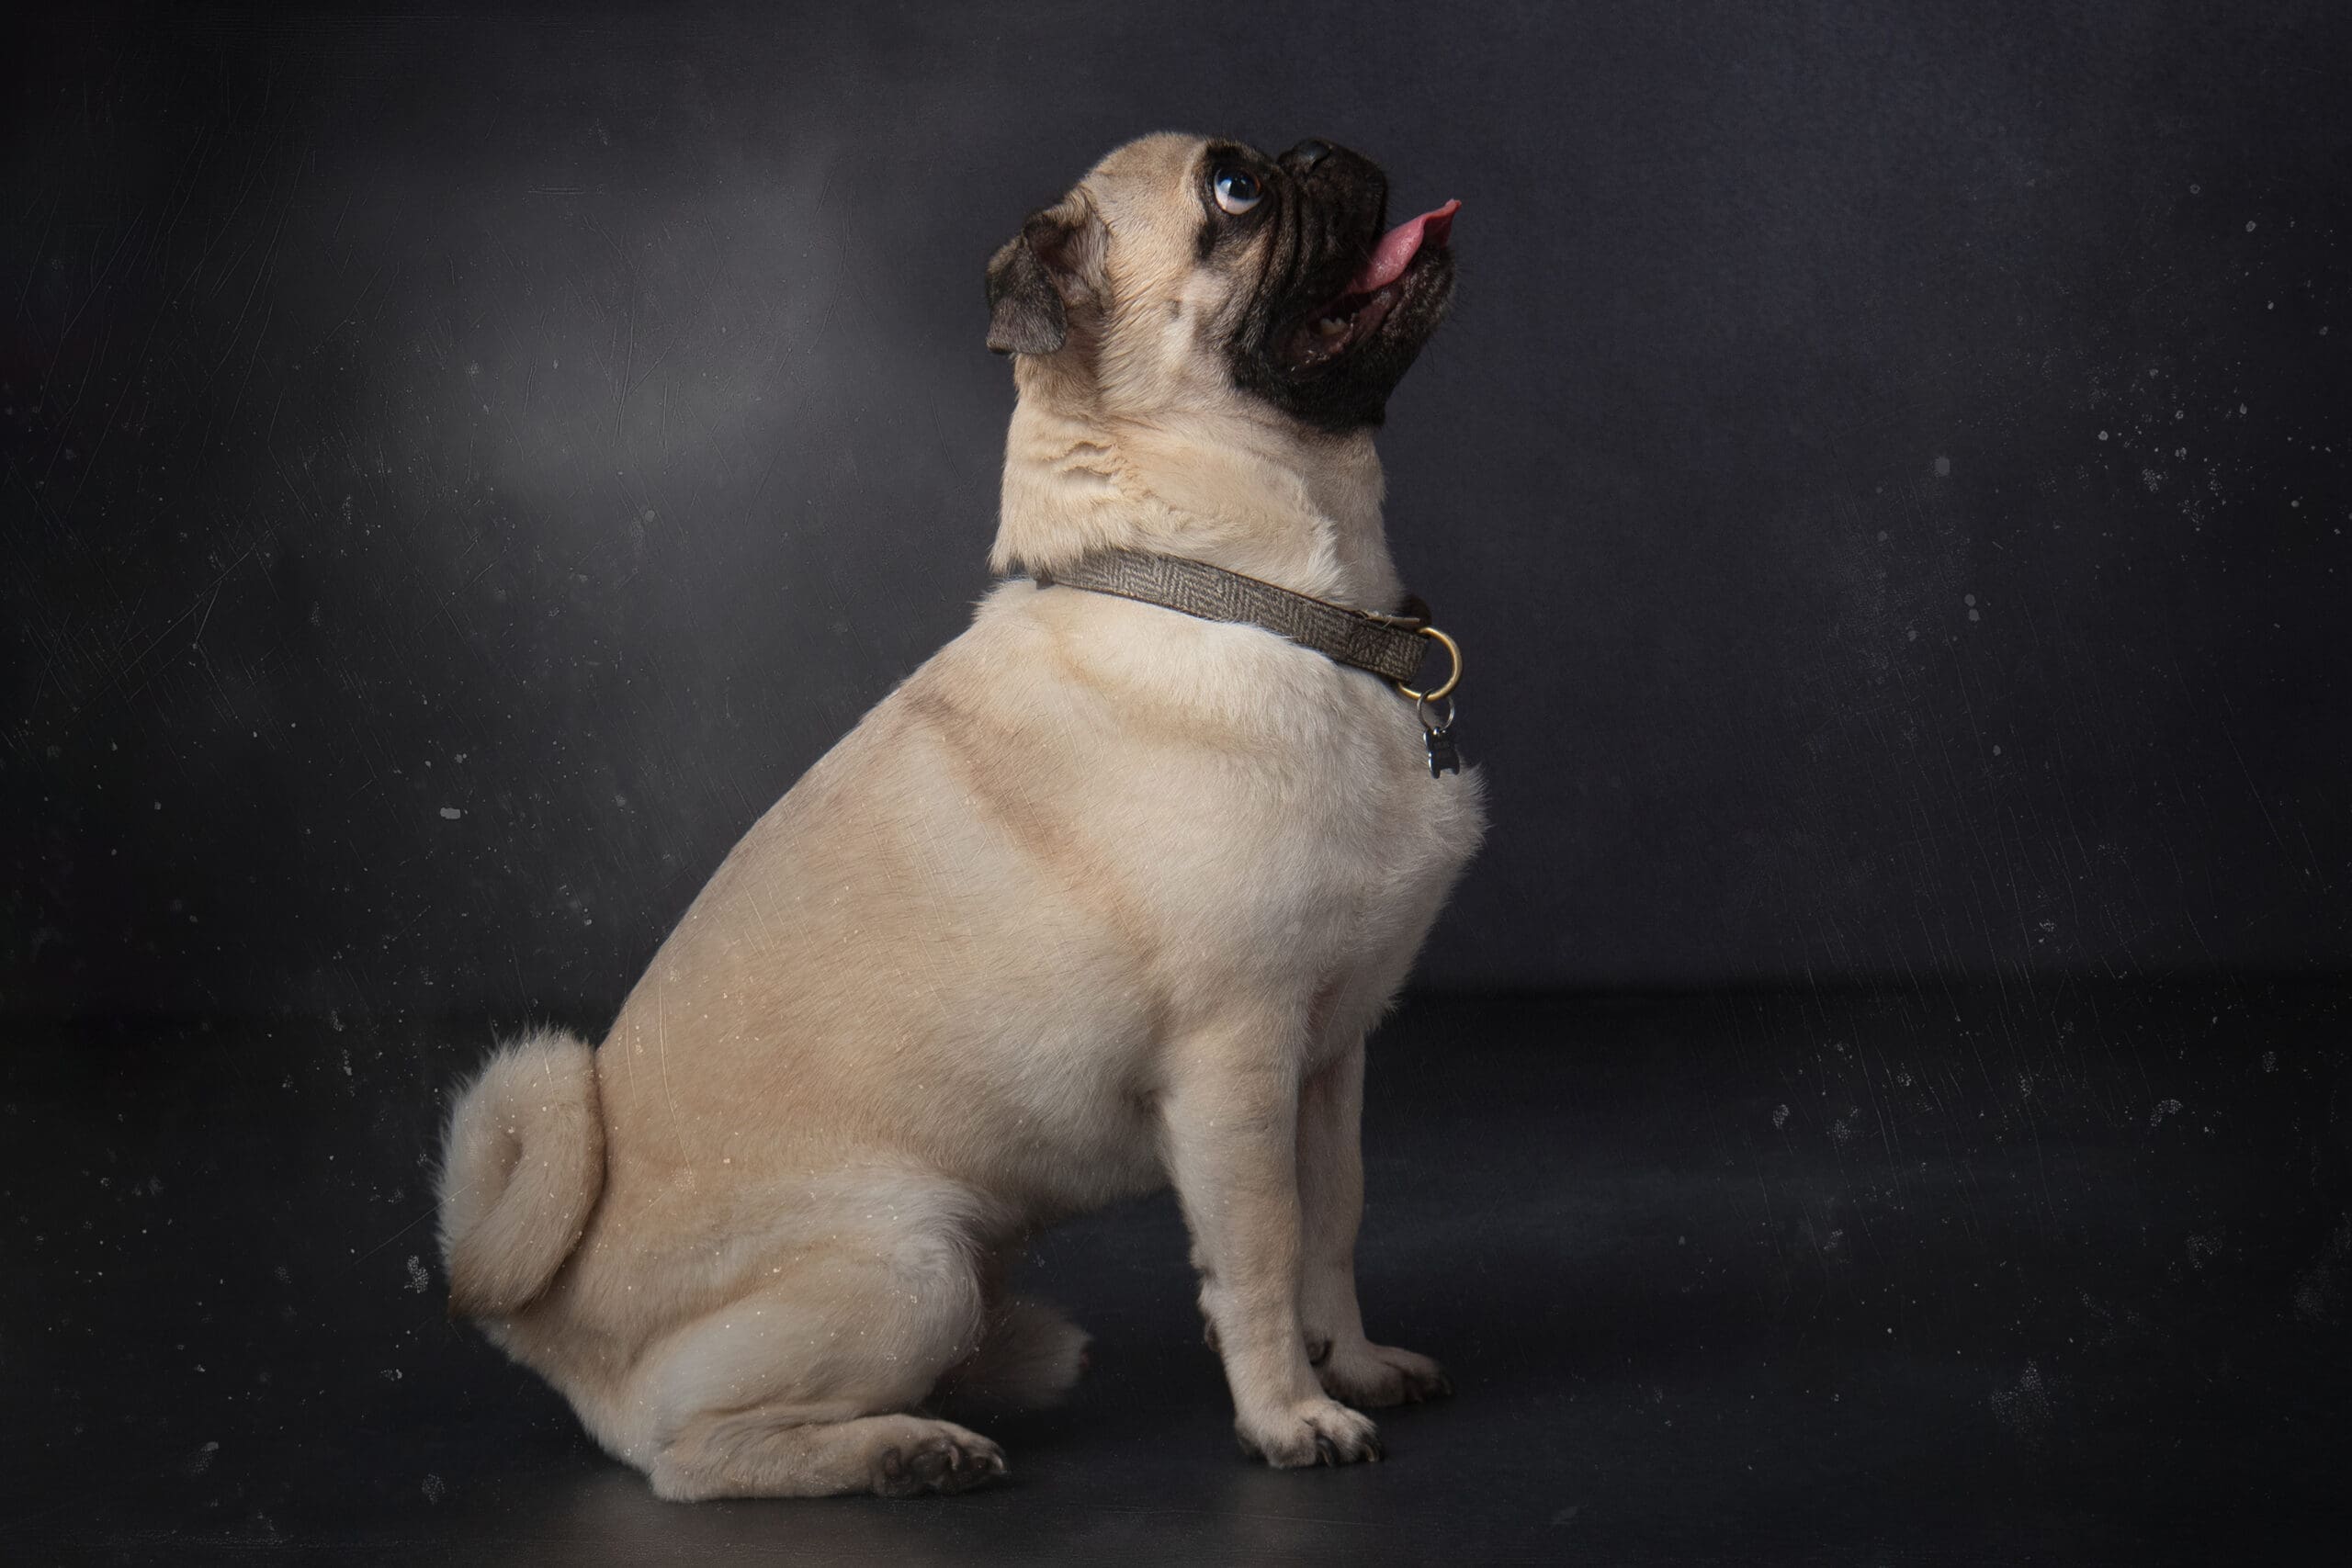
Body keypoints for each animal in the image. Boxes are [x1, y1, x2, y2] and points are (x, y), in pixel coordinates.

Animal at [436, 131, 1483, 1500]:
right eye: (1237, 191)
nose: (1320, 150)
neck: (1258, 594)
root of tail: (548, 1315)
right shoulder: (1238, 1061)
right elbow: (1260, 1254)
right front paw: (1287, 1415)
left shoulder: (1330, 1053)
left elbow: (1336, 1221)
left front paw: (1346, 1363)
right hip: (912, 1263)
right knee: (695, 1458)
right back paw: (906, 1450)